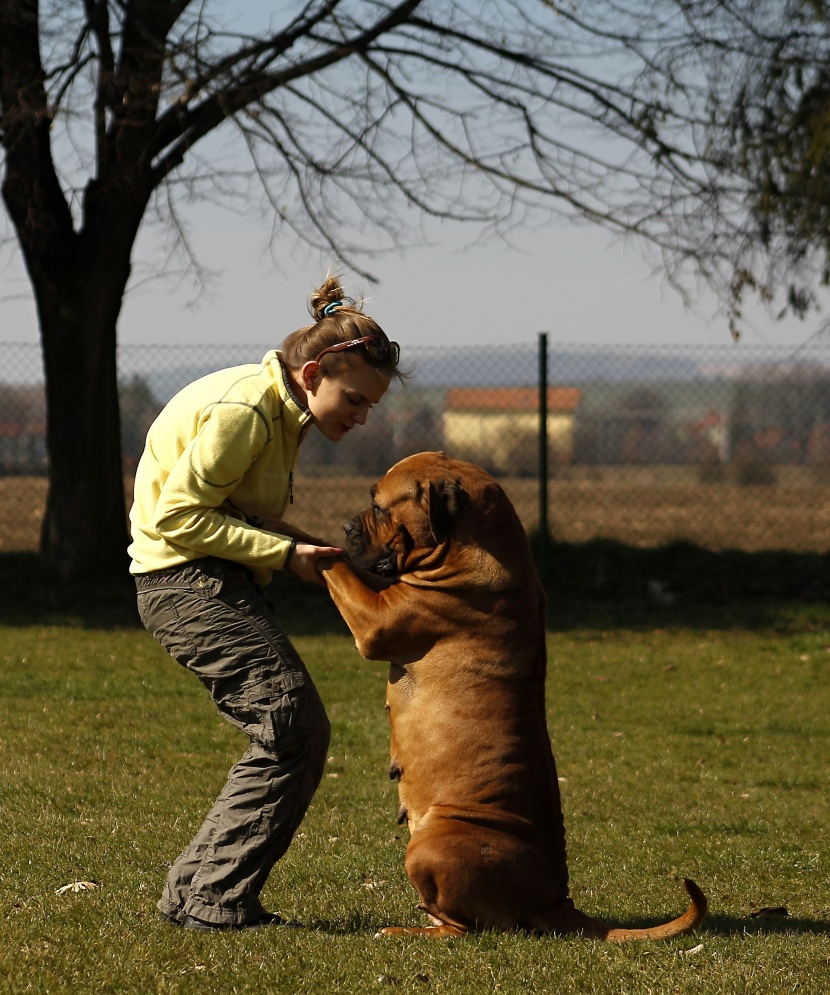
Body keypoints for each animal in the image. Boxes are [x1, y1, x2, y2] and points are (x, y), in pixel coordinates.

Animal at [320, 454, 708, 940]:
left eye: (378, 504)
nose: (345, 525)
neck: (469, 543)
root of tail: (553, 898)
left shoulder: (374, 619)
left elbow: (338, 568)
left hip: (431, 844)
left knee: (466, 928)